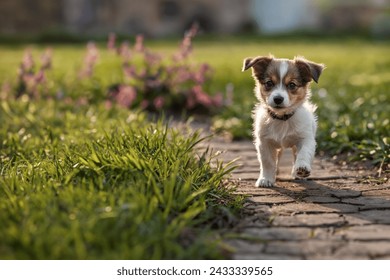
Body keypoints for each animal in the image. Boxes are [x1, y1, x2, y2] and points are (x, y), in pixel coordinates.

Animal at [242, 54, 324, 187]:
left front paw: (302, 168)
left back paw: (297, 173)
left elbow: (304, 153)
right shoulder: (264, 142)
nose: (278, 99)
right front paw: (266, 178)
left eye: (292, 85)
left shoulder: (306, 138)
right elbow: (267, 162)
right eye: (269, 83)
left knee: (296, 154)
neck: (282, 119)